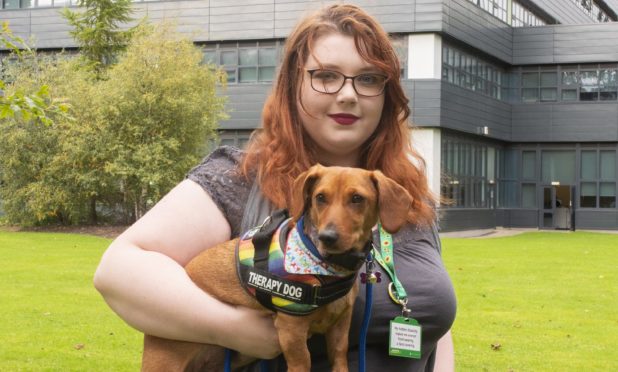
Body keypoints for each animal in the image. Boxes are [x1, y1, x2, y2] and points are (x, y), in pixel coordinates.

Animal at [142, 165, 412, 372]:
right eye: (320, 197)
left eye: (357, 199)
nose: (327, 237)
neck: (324, 265)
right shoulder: (291, 332)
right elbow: (303, 362)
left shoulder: (339, 329)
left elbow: (340, 358)